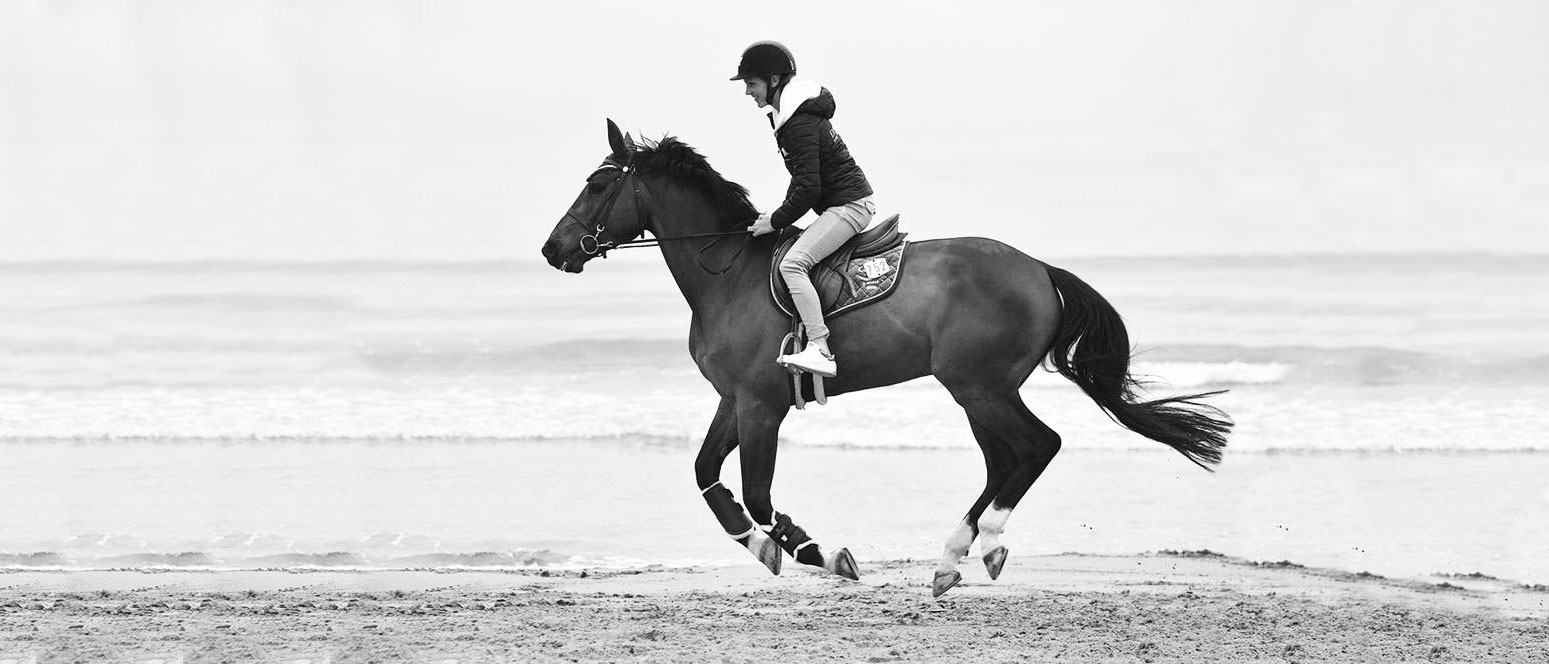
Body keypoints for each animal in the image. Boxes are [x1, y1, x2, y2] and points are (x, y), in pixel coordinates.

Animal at [541, 119, 1232, 597]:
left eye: (597, 184)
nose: (553, 249)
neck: (728, 273)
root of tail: (1038, 269)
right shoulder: (733, 400)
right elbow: (707, 474)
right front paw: (760, 547)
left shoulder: (762, 406)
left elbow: (759, 493)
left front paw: (818, 553)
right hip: (979, 392)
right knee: (1003, 459)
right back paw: (956, 556)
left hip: (979, 387)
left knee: (1038, 446)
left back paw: (977, 546)